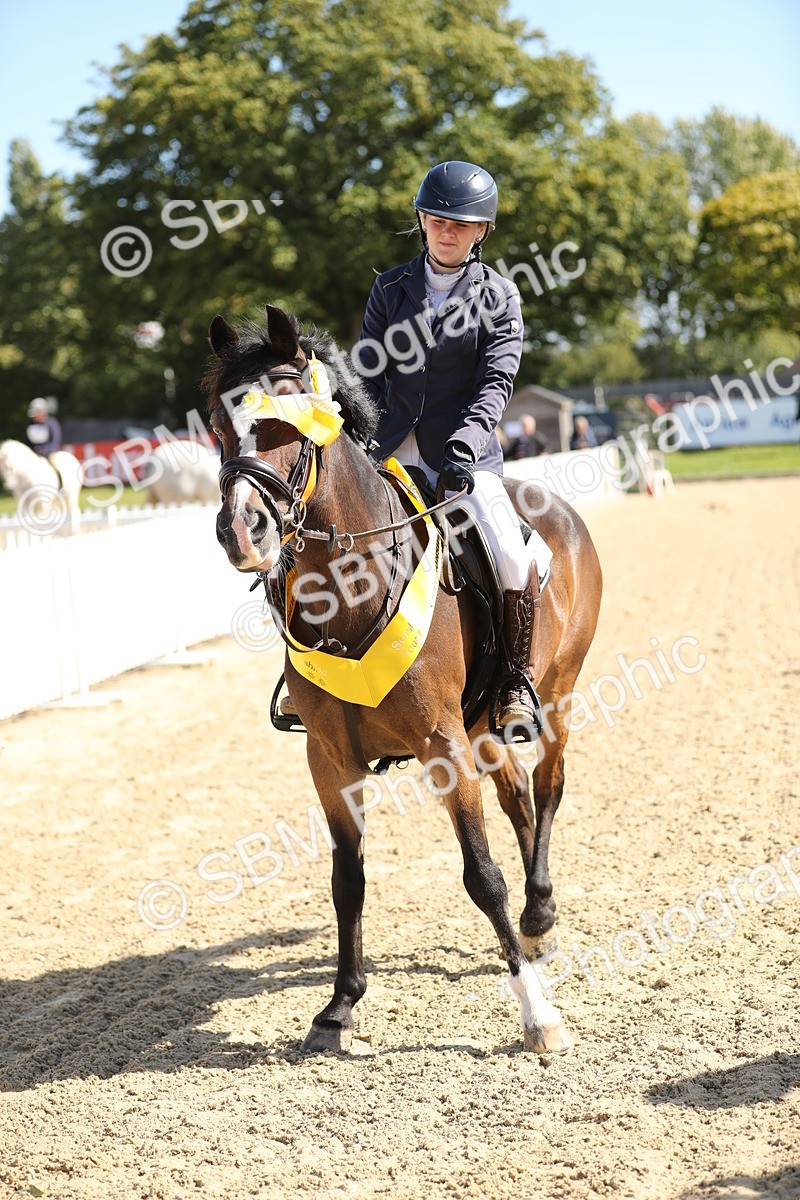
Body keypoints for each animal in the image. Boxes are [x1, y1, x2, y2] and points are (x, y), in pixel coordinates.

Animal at [205, 305, 603, 1055]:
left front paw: (538, 1015)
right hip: (482, 726)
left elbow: (482, 876)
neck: (350, 588)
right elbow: (347, 880)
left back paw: (540, 915)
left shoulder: (442, 745)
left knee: (549, 785)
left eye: (290, 419)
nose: (243, 533)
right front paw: (339, 1007)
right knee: (517, 797)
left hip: (556, 692)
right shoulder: (329, 758)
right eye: (218, 425)